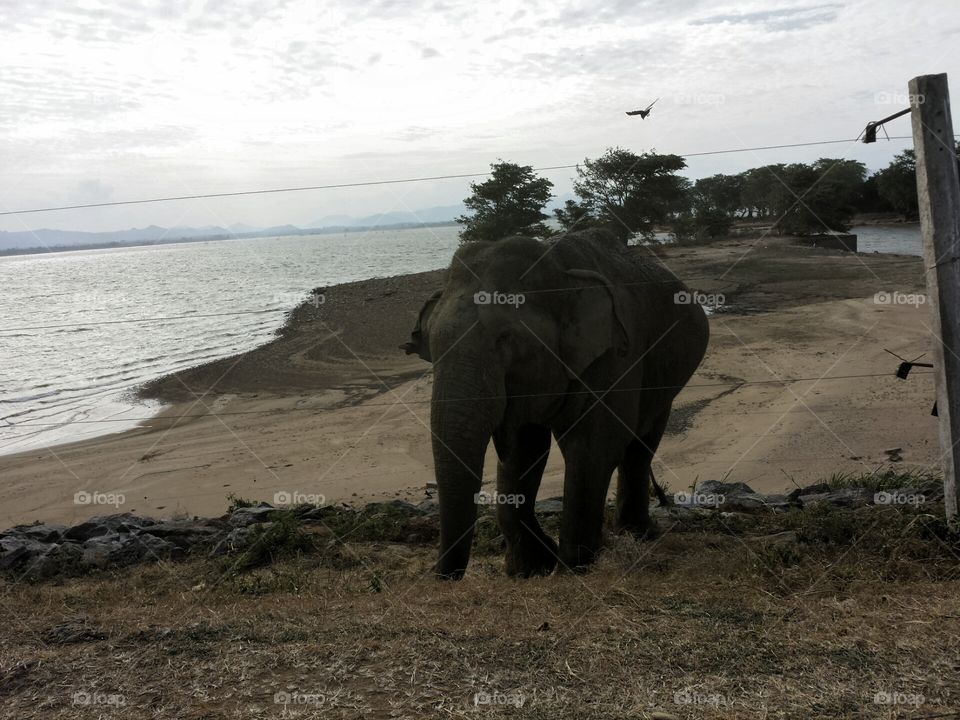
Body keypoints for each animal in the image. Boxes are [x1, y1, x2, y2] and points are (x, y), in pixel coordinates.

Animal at [402, 231, 708, 580]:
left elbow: (593, 446)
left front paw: (572, 568)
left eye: (505, 338)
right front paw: (530, 568)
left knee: (643, 440)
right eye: (431, 346)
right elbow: (524, 452)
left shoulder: (614, 355)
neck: (557, 272)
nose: (439, 576)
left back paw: (638, 534)